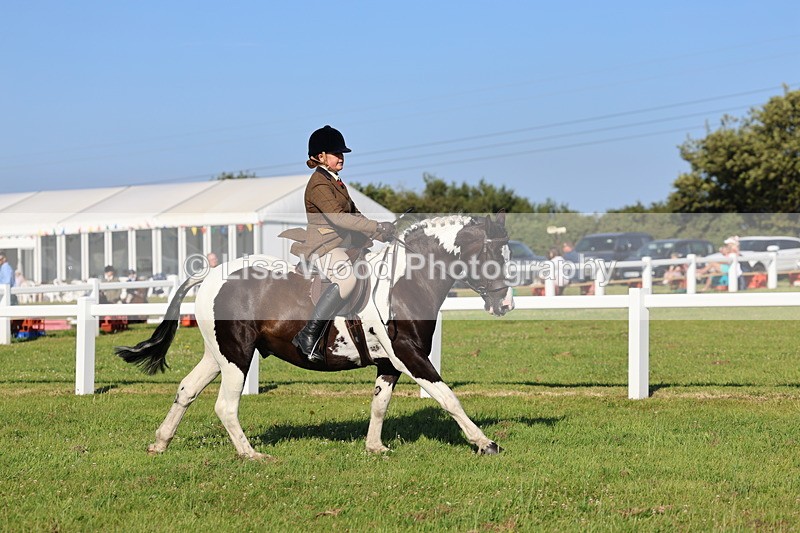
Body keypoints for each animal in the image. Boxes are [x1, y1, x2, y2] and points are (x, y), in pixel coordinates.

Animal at [116, 213, 515, 459]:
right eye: (493, 254)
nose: (506, 304)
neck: (407, 281)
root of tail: (211, 275)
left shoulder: (389, 362)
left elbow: (380, 404)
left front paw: (375, 448)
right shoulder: (409, 355)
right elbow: (449, 398)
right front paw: (485, 443)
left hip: (219, 354)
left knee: (187, 390)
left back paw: (160, 443)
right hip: (237, 356)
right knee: (225, 406)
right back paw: (251, 455)